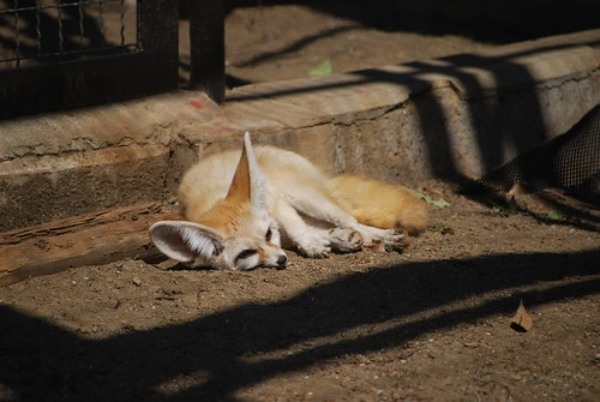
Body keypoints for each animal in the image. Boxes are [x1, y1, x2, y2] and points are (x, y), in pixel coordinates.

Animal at [152, 133, 428, 270]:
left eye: (267, 234)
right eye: (247, 254)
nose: (282, 260)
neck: (212, 199)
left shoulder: (277, 205)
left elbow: (297, 229)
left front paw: (311, 244)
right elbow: (301, 232)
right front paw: (322, 242)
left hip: (304, 197)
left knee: (351, 220)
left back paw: (381, 237)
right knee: (335, 227)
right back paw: (344, 238)